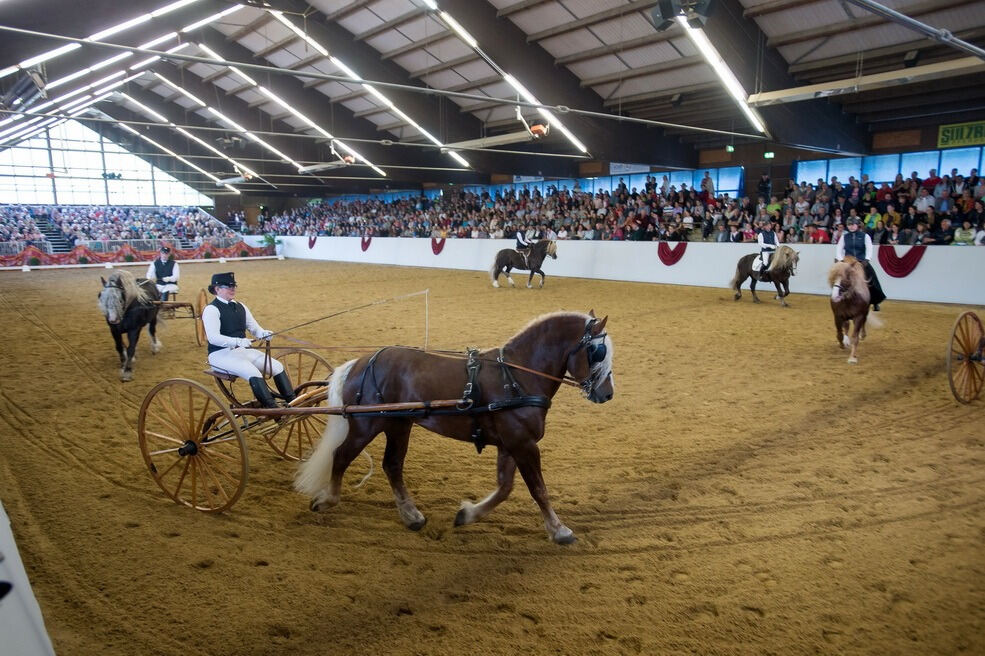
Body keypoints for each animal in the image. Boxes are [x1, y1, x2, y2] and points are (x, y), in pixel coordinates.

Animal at [294, 310, 616, 544]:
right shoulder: (522, 443)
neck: (517, 376)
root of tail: (359, 363)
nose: (607, 394)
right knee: (341, 456)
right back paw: (327, 500)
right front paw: (559, 530)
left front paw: (468, 514)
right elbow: (538, 489)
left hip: (398, 424)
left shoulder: (510, 444)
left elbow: (505, 488)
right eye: (597, 352)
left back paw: (411, 515)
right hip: (365, 424)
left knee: (392, 465)